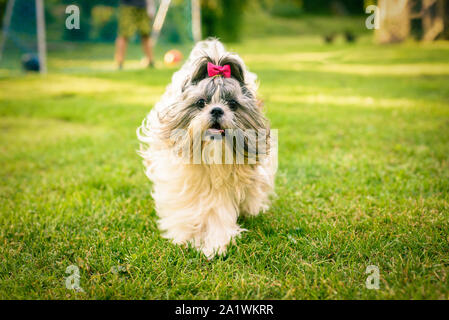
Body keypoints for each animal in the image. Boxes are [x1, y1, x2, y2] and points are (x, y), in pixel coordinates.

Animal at [137, 38, 276, 258]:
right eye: (201, 102)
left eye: (232, 104)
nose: (217, 110)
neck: (211, 159)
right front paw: (185, 237)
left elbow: (218, 215)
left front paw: (215, 245)